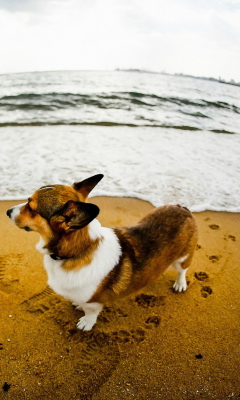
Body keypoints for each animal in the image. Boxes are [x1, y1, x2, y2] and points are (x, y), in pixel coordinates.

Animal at [6, 173, 198, 330]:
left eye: (31, 208)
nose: (7, 211)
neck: (78, 250)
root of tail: (182, 207)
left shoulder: (93, 302)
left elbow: (90, 313)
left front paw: (86, 323)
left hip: (183, 257)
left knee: (183, 270)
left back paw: (180, 284)